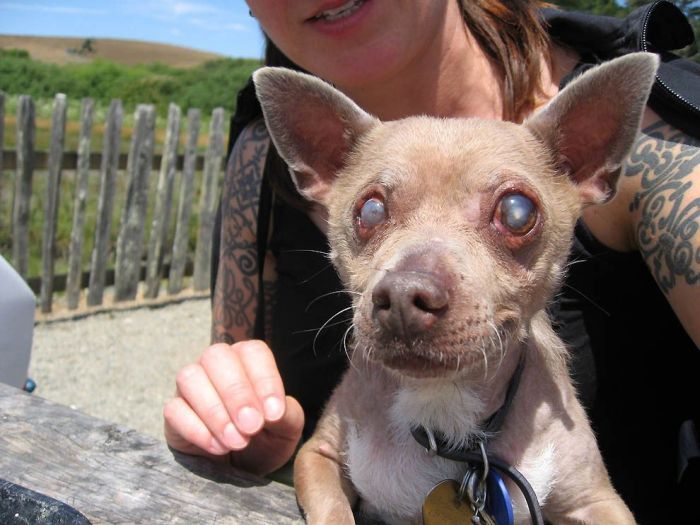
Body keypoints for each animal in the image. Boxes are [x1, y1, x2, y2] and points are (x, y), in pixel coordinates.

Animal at [254, 54, 660, 524]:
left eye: (517, 212)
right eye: (369, 210)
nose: (405, 296)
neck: (440, 408)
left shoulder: (596, 500)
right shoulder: (317, 456)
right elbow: (334, 512)